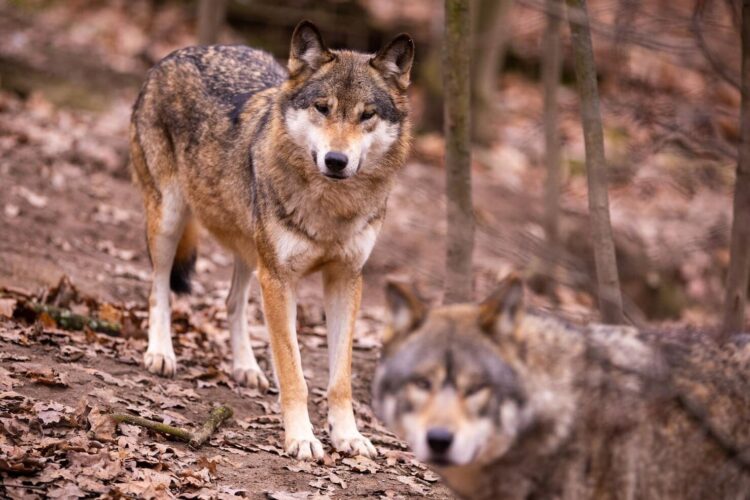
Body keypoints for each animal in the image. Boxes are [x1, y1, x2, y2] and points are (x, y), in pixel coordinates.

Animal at [129, 20, 414, 460]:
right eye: (322, 108)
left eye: (366, 115)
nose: (336, 160)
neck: (331, 209)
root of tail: (177, 53)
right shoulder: (280, 280)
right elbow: (293, 372)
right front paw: (302, 438)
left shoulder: (346, 280)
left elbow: (340, 379)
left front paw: (348, 436)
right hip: (169, 220)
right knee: (158, 287)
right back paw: (160, 353)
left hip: (250, 250)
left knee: (232, 302)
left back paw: (246, 368)